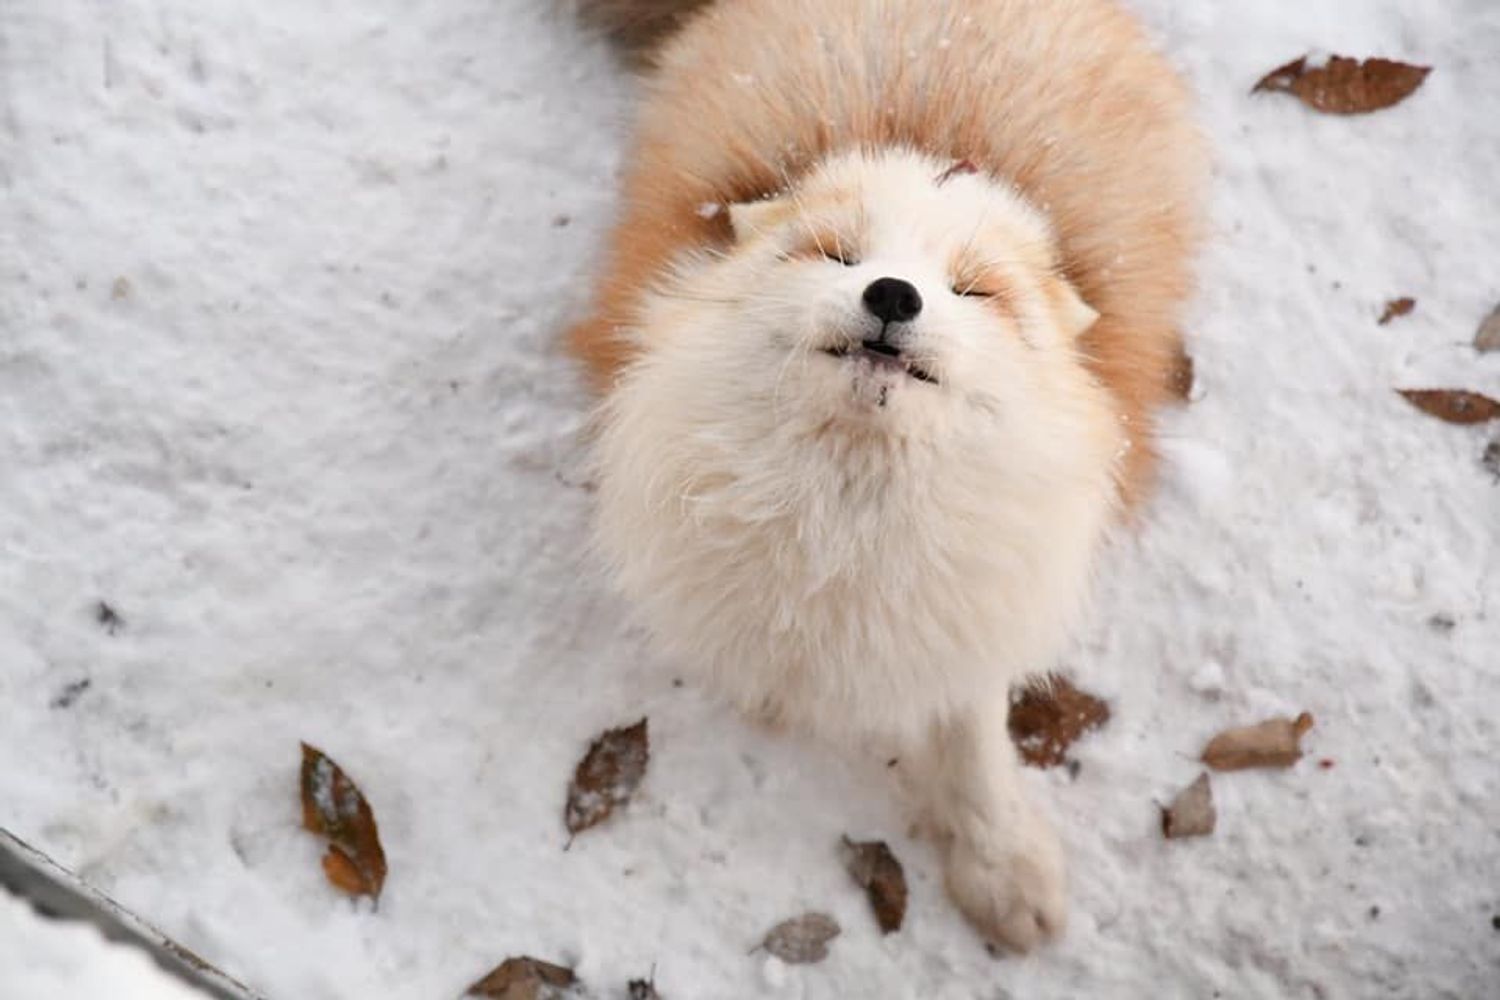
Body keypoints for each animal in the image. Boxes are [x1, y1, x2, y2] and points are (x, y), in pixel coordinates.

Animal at [564, 0, 1206, 953]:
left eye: (973, 292)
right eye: (837, 256)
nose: (894, 294)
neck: (850, 523)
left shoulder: (973, 606)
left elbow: (975, 744)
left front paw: (1000, 865)